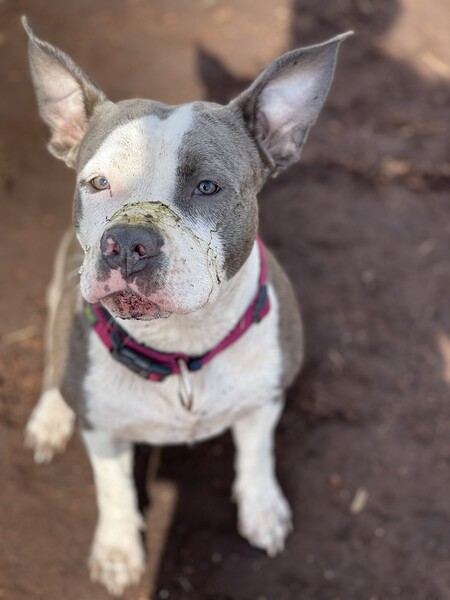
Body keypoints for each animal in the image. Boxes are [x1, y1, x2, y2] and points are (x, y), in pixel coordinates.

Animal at [22, 17, 352, 596]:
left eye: (207, 186)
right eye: (97, 182)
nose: (127, 241)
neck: (180, 348)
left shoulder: (266, 395)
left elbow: (257, 455)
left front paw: (262, 510)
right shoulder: (102, 431)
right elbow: (113, 489)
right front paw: (117, 551)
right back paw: (50, 416)